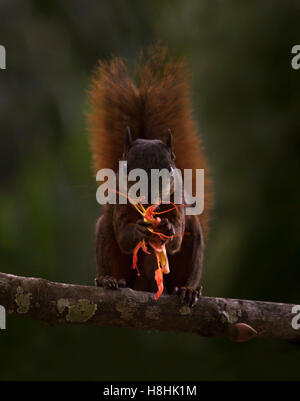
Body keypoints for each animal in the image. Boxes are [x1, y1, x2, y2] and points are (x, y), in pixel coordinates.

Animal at [87, 45, 213, 306]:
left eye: (168, 170)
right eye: (129, 171)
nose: (148, 195)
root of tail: (146, 284)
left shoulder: (177, 200)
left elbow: (175, 236)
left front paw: (167, 227)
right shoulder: (121, 201)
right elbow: (124, 234)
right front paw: (136, 230)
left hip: (192, 242)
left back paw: (188, 289)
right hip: (107, 240)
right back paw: (108, 280)